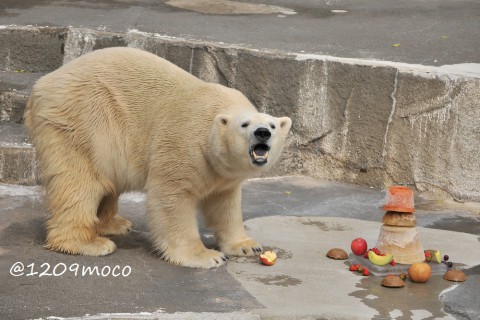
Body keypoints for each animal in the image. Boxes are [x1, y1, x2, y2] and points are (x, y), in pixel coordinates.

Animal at [24, 47, 290, 268]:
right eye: (244, 124)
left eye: (272, 125)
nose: (262, 133)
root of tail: (41, 85)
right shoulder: (184, 142)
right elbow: (171, 196)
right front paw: (206, 256)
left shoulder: (223, 174)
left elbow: (225, 204)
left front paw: (246, 245)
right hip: (85, 119)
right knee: (80, 181)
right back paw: (89, 243)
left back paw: (114, 224)